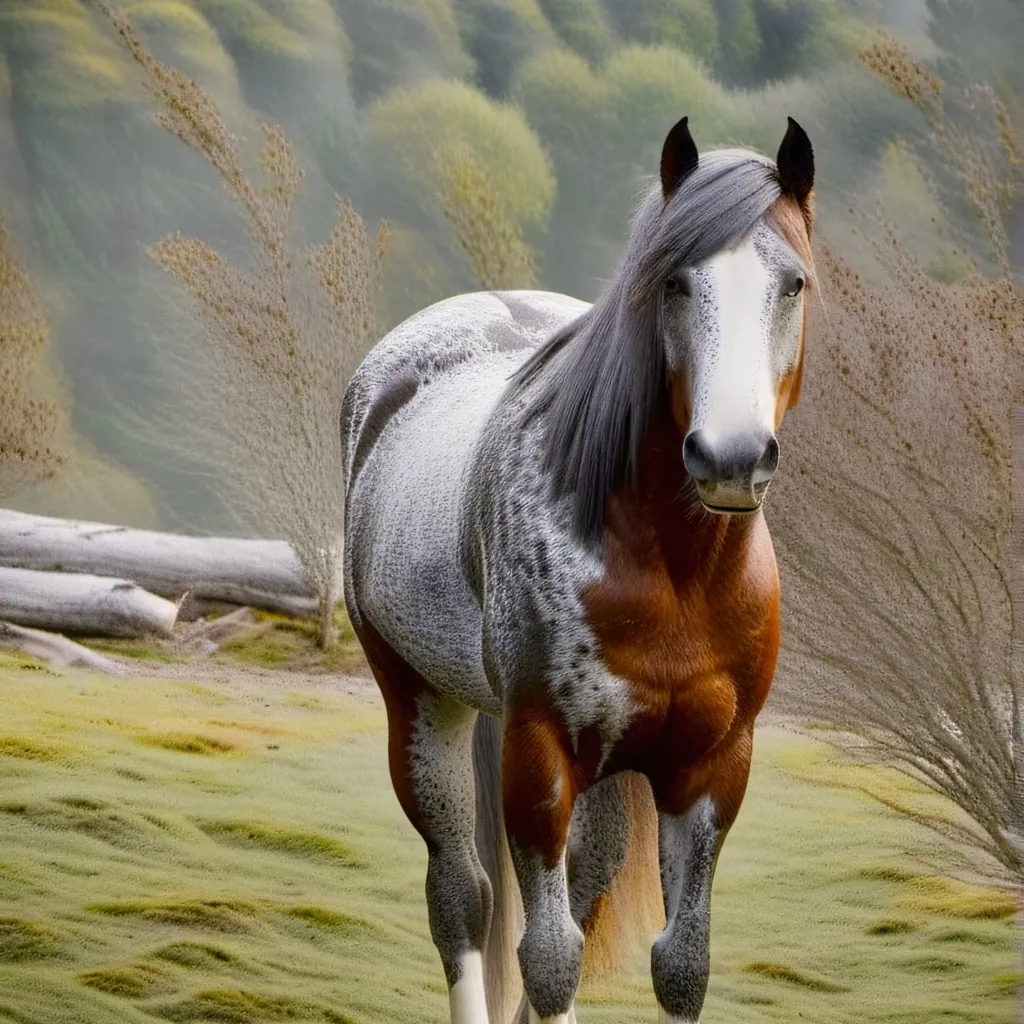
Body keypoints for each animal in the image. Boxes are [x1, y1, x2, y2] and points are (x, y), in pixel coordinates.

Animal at [342, 115, 815, 1024]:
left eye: (795, 284)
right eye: (674, 282)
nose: (732, 458)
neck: (671, 569)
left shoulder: (711, 768)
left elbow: (681, 963)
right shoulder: (540, 754)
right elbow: (550, 957)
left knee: (580, 891)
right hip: (423, 705)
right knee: (464, 898)